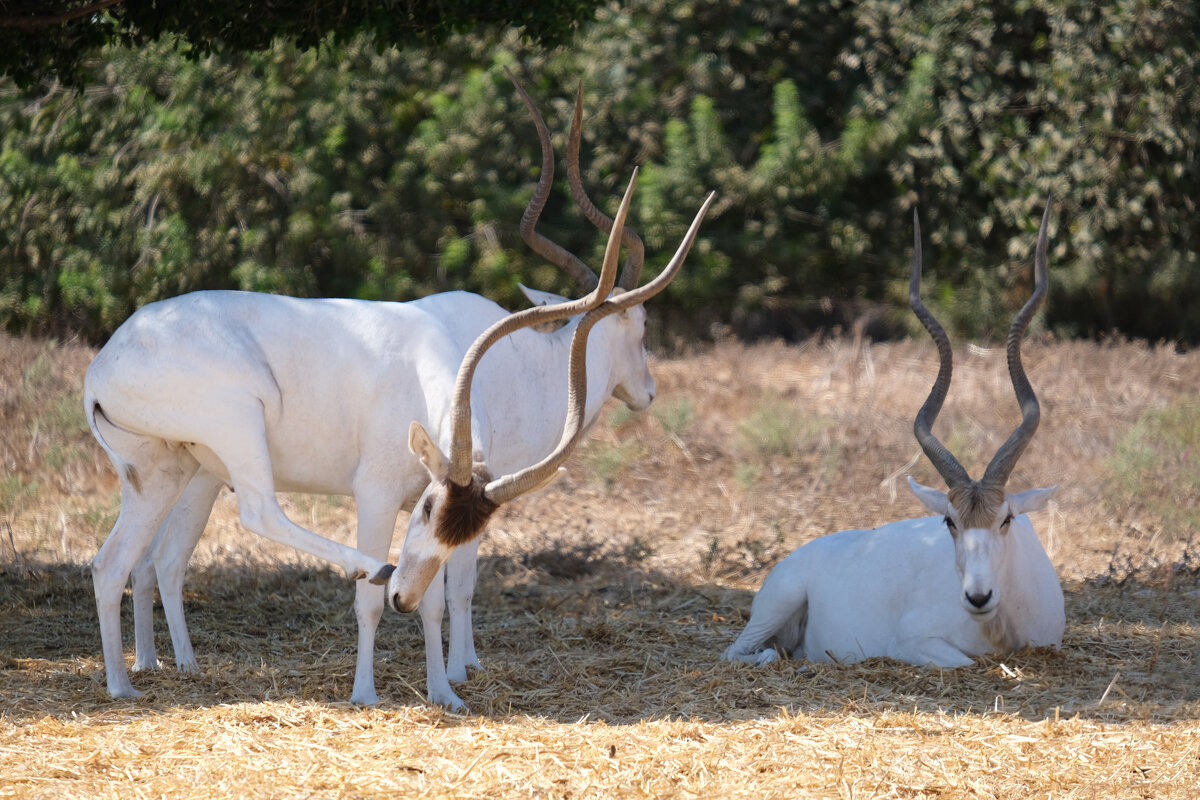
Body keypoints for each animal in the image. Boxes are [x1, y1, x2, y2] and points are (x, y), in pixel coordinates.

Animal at [88, 77, 715, 710]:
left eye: (440, 513)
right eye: (643, 328)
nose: (648, 393)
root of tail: (107, 360)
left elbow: (442, 597)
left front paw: (446, 691)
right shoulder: (377, 495)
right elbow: (418, 594)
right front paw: (378, 688)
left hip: (170, 471)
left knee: (124, 562)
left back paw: (131, 678)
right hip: (236, 428)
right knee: (256, 516)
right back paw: (365, 570)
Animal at [724, 205, 1065, 671]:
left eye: (1006, 519)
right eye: (950, 521)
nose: (977, 597)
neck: (999, 623)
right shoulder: (910, 642)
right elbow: (966, 661)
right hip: (779, 602)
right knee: (743, 652)